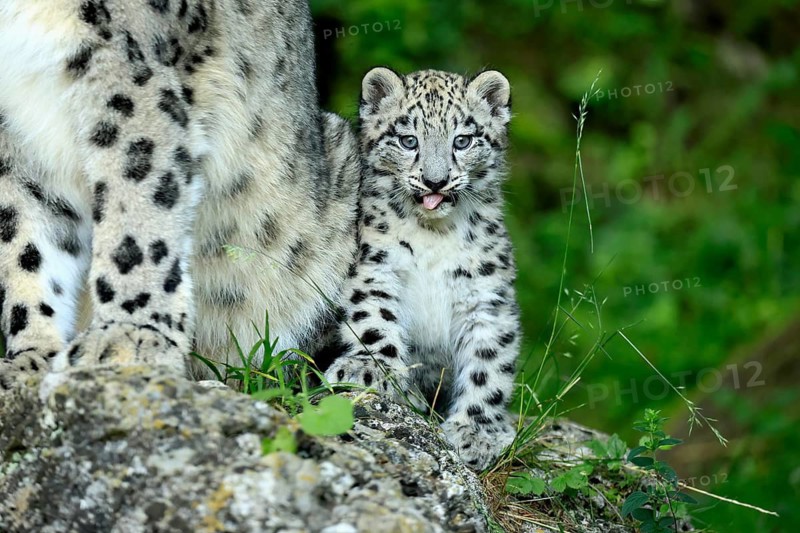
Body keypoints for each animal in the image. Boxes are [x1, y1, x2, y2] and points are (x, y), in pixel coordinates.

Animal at [323, 67, 522, 469]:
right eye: (408, 140)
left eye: (462, 140)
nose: (435, 180)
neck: (435, 233)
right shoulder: (375, 268)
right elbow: (374, 321)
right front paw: (369, 370)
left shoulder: (486, 296)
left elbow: (488, 363)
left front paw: (476, 432)